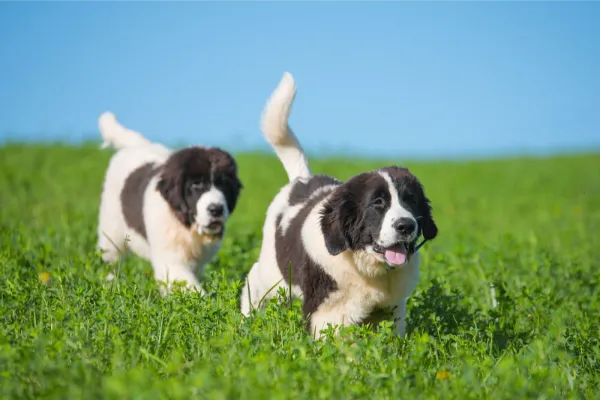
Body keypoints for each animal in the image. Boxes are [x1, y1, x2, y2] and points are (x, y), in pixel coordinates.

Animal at [97, 112, 243, 294]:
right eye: (196, 184)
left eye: (224, 184)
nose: (216, 209)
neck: (185, 225)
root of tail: (136, 145)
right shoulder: (170, 259)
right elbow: (188, 286)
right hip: (111, 230)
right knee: (111, 260)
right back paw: (109, 286)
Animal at [241, 72, 438, 338]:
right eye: (377, 203)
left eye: (411, 201)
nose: (406, 225)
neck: (367, 266)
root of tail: (302, 179)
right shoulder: (329, 308)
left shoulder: (393, 306)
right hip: (275, 272)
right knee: (254, 282)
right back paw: (246, 319)